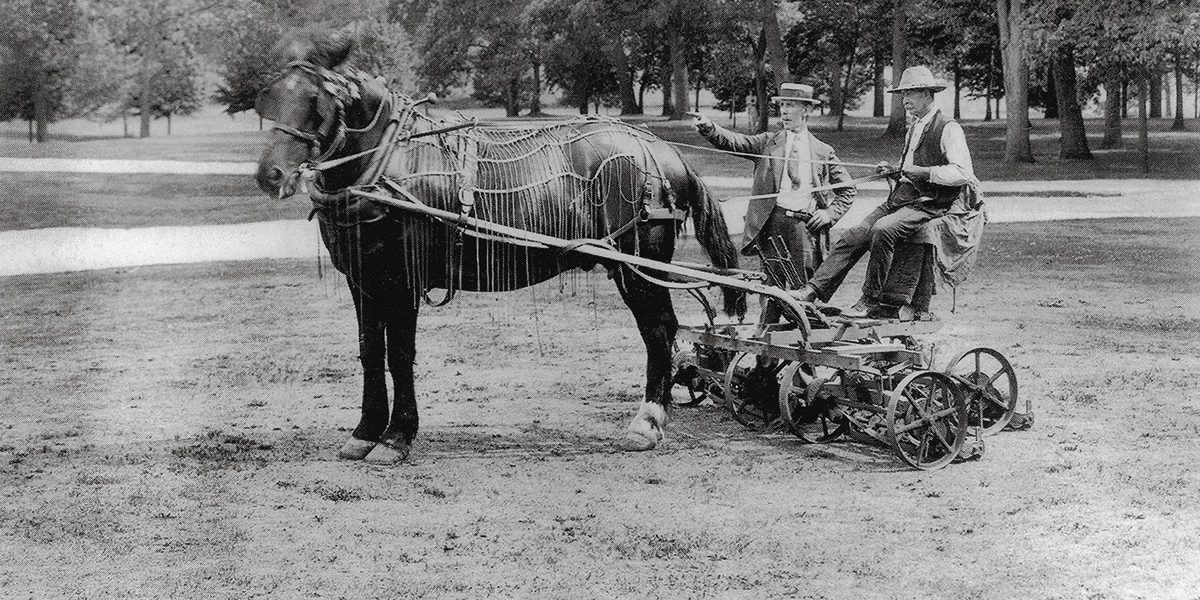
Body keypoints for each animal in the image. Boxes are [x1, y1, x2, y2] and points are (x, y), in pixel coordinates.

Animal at [253, 31, 739, 463]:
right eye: (267, 100)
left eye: (316, 102)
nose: (270, 174)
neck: (390, 160)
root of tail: (663, 150)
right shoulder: (363, 280)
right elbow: (371, 351)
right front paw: (365, 433)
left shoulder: (405, 279)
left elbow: (400, 354)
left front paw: (396, 438)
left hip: (639, 264)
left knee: (658, 330)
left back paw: (647, 422)